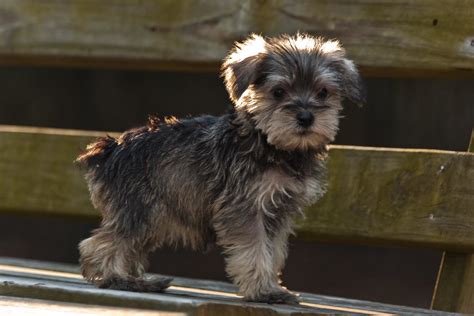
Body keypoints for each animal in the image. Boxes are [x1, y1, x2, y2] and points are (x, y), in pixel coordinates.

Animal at [78, 32, 364, 304]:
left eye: (323, 92)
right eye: (279, 92)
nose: (305, 117)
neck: (270, 144)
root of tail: (110, 148)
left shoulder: (279, 212)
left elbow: (272, 252)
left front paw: (271, 286)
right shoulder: (245, 207)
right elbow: (254, 250)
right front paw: (263, 291)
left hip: (153, 217)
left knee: (125, 246)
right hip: (141, 211)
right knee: (101, 245)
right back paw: (119, 279)